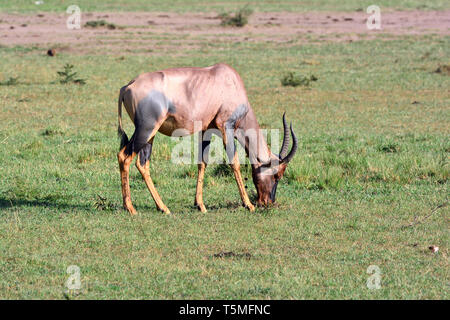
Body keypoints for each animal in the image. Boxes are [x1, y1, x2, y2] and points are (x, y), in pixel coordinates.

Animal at [118, 63, 298, 215]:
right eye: (277, 175)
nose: (267, 202)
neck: (230, 81)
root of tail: (127, 86)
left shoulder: (207, 129)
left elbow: (202, 161)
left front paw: (200, 205)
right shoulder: (226, 126)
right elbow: (234, 162)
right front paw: (248, 205)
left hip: (149, 133)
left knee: (142, 163)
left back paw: (163, 207)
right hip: (146, 129)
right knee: (124, 157)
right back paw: (131, 208)